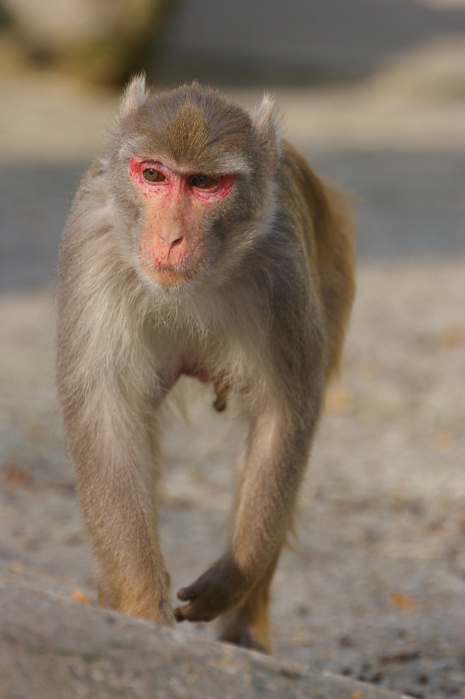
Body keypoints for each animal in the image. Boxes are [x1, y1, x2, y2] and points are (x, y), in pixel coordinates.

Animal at [57, 74, 356, 652]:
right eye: (153, 175)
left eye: (205, 184)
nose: (171, 238)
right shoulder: (91, 243)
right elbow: (108, 417)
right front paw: (141, 608)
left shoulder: (284, 270)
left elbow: (283, 416)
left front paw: (232, 580)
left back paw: (245, 627)